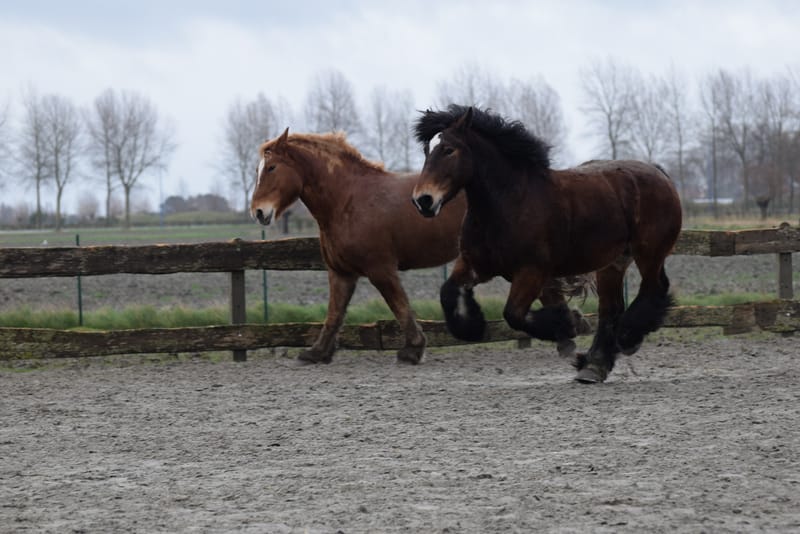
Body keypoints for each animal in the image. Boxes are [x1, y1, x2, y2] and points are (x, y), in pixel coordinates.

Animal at [250, 128, 591, 365]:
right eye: (258, 169)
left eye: (271, 168)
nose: (258, 212)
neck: (348, 200)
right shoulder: (341, 273)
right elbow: (334, 315)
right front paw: (316, 353)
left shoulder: (380, 269)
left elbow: (400, 307)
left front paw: (413, 350)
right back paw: (566, 335)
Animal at [411, 105, 682, 383]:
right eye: (427, 150)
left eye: (449, 149)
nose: (423, 200)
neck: (510, 202)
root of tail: (658, 172)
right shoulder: (474, 264)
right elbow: (448, 293)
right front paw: (472, 327)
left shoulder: (532, 271)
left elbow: (514, 314)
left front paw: (568, 324)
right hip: (613, 262)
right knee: (611, 308)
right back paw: (593, 366)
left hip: (648, 252)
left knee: (654, 288)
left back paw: (628, 338)